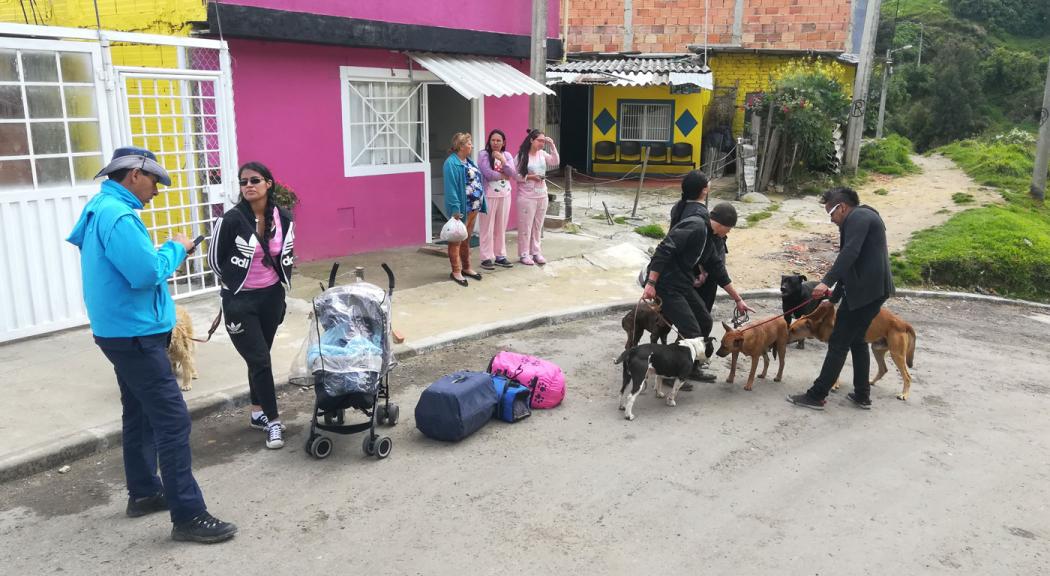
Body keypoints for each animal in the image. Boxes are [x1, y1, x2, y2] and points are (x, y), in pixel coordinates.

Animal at [789, 300, 919, 400]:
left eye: (793, 330)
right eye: (790, 328)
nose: (785, 337)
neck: (823, 320)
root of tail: (903, 323)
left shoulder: (839, 348)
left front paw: (834, 384)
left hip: (897, 354)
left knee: (907, 377)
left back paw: (904, 394)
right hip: (877, 349)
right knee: (883, 369)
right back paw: (871, 382)